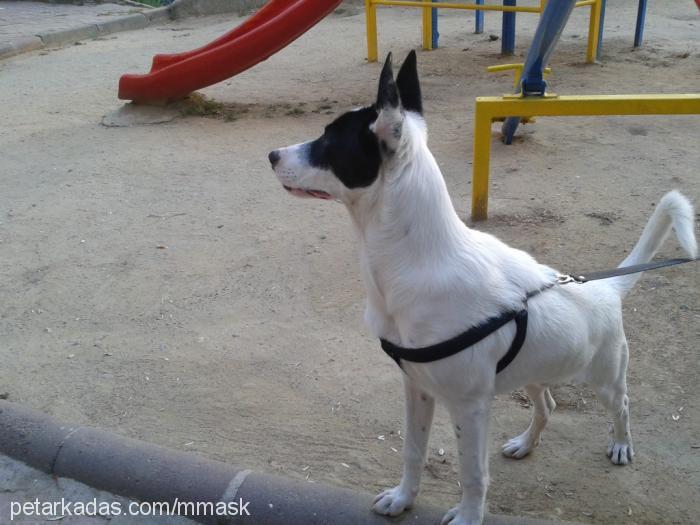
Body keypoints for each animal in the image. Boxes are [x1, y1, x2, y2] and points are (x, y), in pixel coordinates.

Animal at [266, 50, 696, 524]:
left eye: (329, 141)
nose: (271, 155)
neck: (418, 260)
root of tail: (603, 290)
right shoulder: (417, 388)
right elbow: (413, 451)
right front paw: (403, 498)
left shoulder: (469, 406)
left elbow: (472, 472)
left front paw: (469, 514)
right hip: (534, 371)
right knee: (547, 405)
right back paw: (526, 443)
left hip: (605, 379)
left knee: (622, 406)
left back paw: (620, 443)